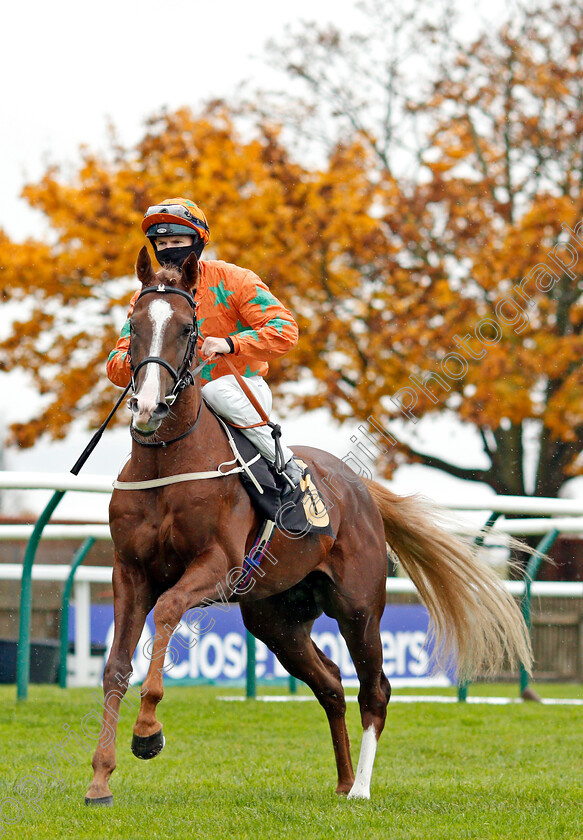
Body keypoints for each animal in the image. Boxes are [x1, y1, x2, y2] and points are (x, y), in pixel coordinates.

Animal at [85, 246, 532, 804]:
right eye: (134, 323)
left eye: (189, 328)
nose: (148, 405)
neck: (169, 462)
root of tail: (360, 489)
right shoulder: (130, 571)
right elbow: (116, 665)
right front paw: (100, 778)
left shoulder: (215, 567)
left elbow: (167, 612)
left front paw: (148, 733)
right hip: (276, 618)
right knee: (331, 683)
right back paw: (342, 780)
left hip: (359, 608)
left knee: (375, 688)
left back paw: (361, 788)